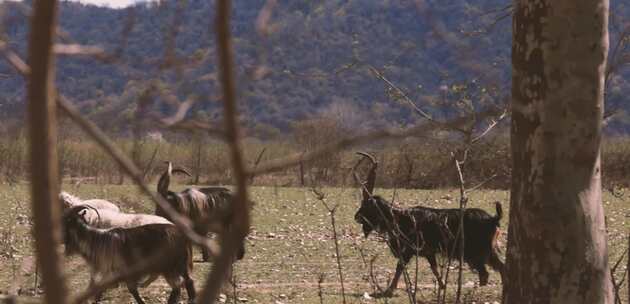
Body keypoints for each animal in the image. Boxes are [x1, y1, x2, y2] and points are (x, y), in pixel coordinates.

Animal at [354, 152, 506, 296]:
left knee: (486, 273)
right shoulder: (429, 252)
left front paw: (389, 290)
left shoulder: (410, 249)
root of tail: (493, 218)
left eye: (367, 205)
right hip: (487, 251)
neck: (400, 217)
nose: (356, 217)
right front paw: (442, 285)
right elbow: (434, 269)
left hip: (476, 252)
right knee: (498, 268)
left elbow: (400, 266)